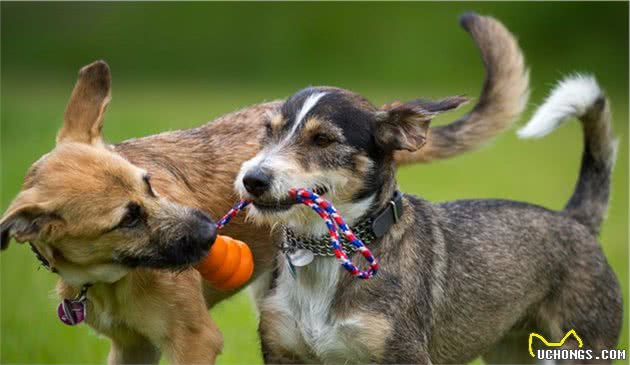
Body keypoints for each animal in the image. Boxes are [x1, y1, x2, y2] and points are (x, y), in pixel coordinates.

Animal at [0, 12, 528, 362]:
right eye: (126, 218)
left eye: (149, 184)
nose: (210, 233)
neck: (108, 277)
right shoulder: (131, 348)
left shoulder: (194, 339)